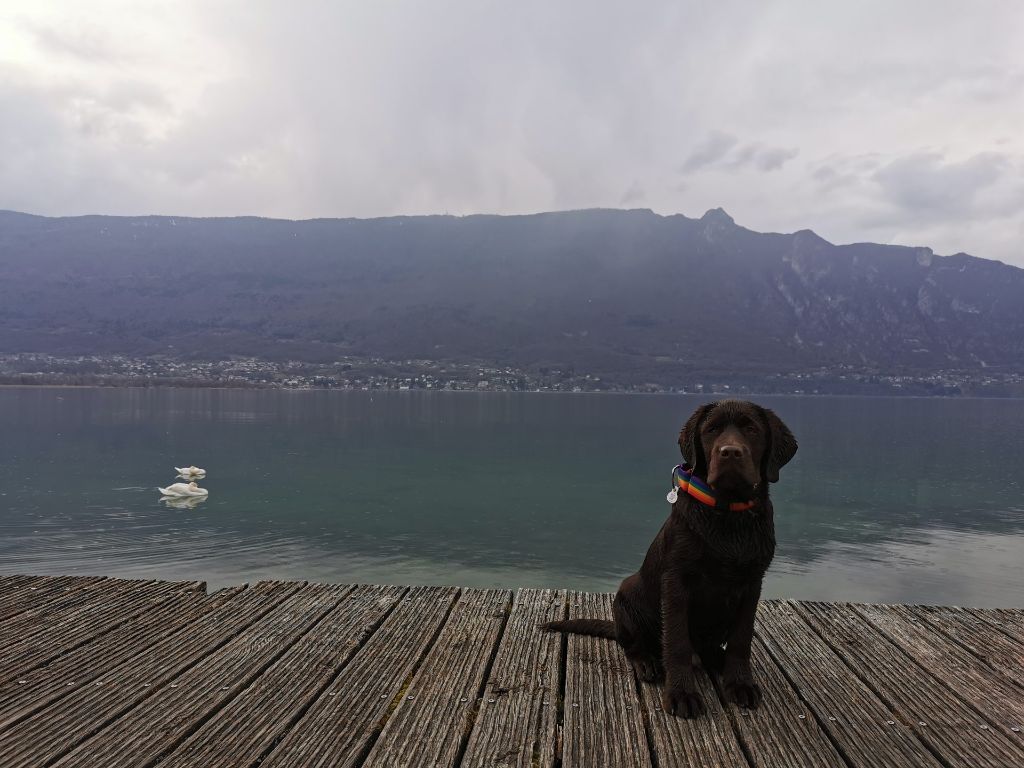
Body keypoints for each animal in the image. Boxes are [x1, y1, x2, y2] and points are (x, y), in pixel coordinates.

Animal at [544, 399, 798, 720]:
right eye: (711, 429)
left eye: (752, 429)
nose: (729, 452)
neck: (727, 516)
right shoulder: (677, 582)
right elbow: (676, 642)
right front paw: (682, 693)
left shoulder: (753, 582)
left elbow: (742, 639)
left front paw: (740, 683)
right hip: (627, 596)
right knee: (636, 646)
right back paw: (647, 662)